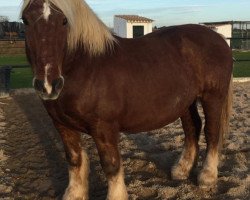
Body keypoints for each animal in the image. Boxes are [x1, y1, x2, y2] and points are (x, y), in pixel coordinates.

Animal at [20, 0, 233, 198]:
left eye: (64, 21)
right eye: (25, 20)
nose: (48, 85)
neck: (84, 67)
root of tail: (218, 37)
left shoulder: (103, 128)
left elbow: (111, 165)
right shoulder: (62, 125)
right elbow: (74, 159)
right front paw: (75, 193)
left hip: (213, 97)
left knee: (211, 132)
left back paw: (207, 177)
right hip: (186, 102)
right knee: (192, 128)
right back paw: (182, 169)